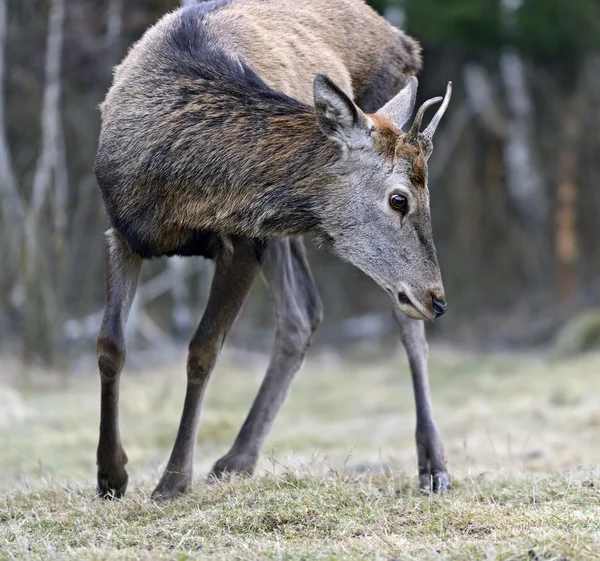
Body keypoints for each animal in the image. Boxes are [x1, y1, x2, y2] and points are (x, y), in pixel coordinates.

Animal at [92, 0, 450, 498]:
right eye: (399, 199)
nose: (438, 298)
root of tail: (404, 41)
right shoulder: (121, 229)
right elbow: (110, 344)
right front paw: (111, 475)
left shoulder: (246, 240)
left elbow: (203, 351)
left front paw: (173, 481)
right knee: (303, 312)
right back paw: (236, 460)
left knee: (403, 327)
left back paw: (433, 465)